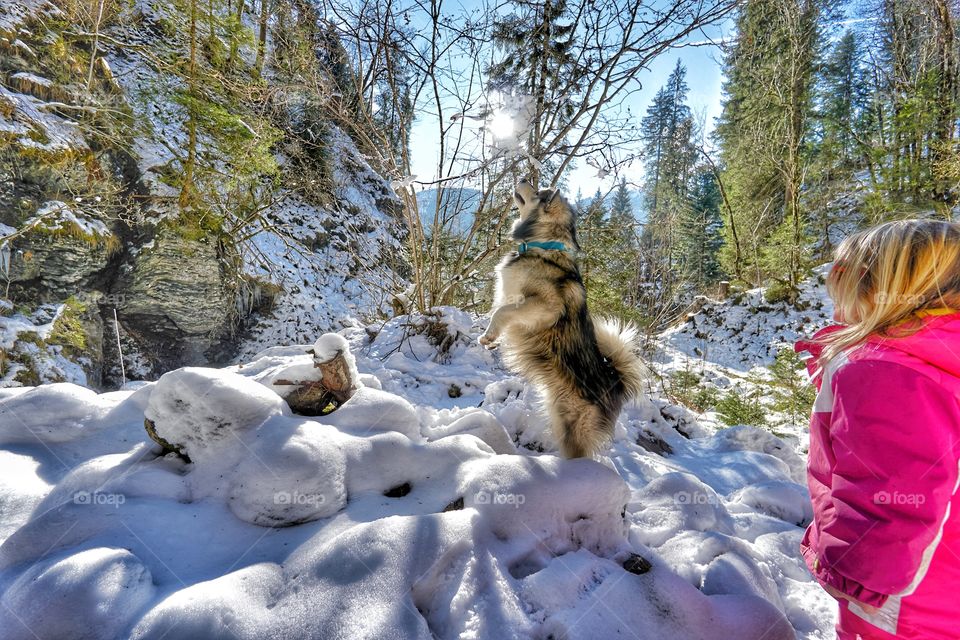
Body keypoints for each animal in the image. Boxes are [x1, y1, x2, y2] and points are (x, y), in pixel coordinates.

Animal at [479, 178, 645, 458]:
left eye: (537, 191)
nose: (523, 177)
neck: (543, 247)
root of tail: (614, 384)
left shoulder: (545, 307)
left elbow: (504, 311)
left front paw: (488, 336)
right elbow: (497, 313)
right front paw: (490, 337)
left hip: (574, 430)